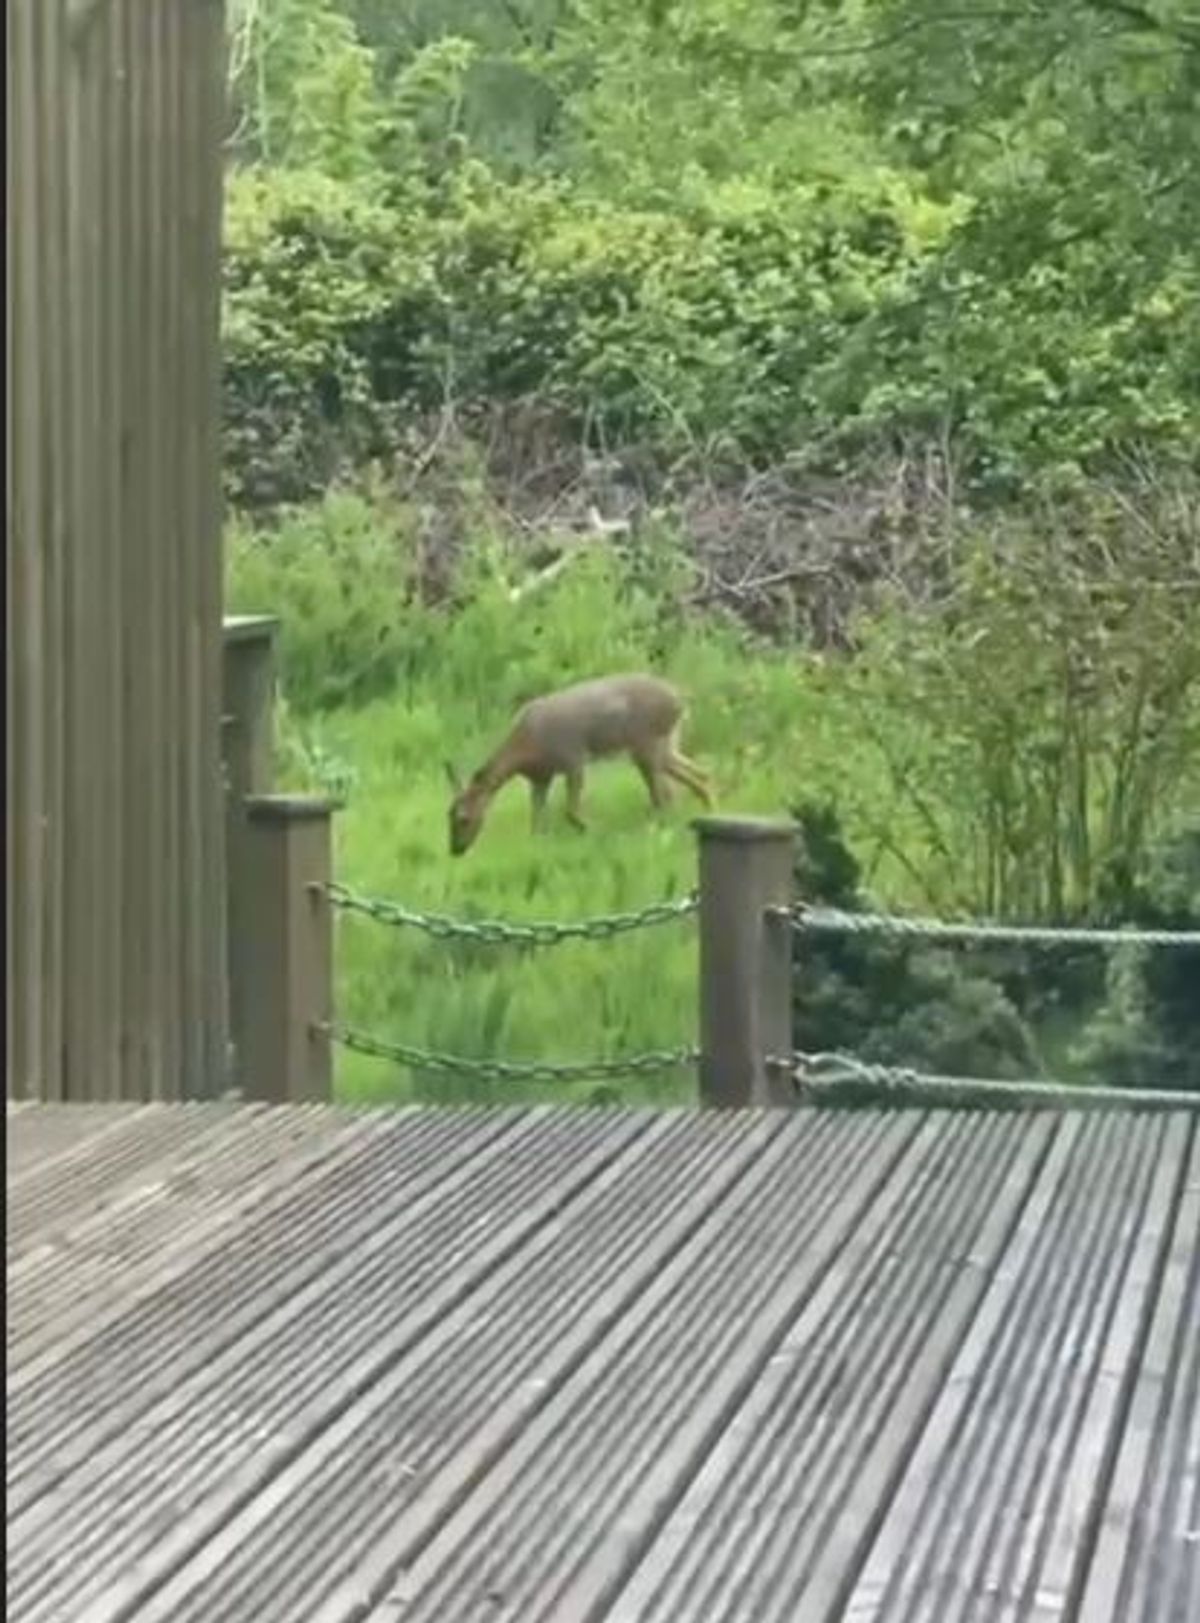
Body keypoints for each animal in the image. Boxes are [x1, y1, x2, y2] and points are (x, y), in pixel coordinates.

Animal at [445, 673, 713, 856]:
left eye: (463, 818)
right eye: (447, 815)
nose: (455, 850)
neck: (528, 748)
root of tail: (680, 699)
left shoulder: (573, 760)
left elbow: (571, 812)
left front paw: (594, 832)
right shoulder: (540, 778)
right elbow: (536, 823)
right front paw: (538, 849)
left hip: (646, 744)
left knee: (665, 795)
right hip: (664, 744)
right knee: (699, 776)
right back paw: (706, 808)